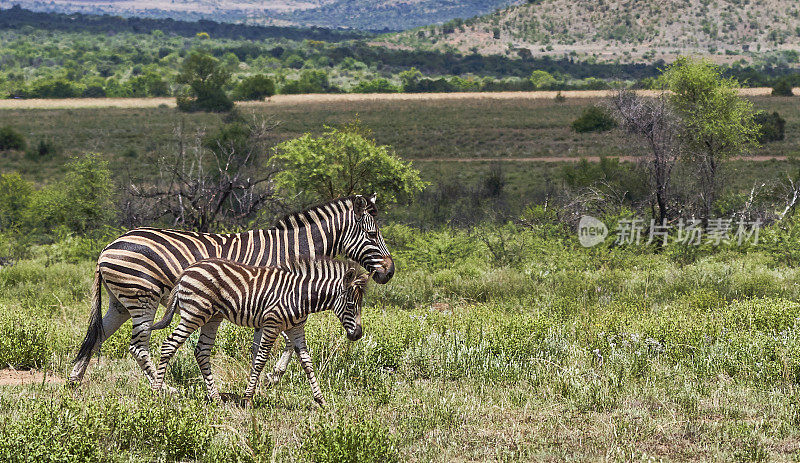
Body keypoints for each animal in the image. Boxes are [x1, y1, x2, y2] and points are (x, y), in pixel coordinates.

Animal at [70, 194, 396, 386]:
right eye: (372, 234)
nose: (389, 271)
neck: (291, 252)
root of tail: (106, 248)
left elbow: (274, 345)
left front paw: (264, 379)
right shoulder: (274, 298)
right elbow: (280, 345)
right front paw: (269, 379)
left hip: (120, 303)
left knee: (96, 336)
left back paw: (74, 383)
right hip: (142, 298)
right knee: (138, 346)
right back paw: (166, 388)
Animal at [148, 258, 368, 406]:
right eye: (351, 305)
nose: (357, 335)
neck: (300, 296)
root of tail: (186, 270)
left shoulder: (296, 328)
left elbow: (307, 362)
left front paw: (320, 400)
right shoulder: (272, 324)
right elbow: (261, 360)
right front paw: (247, 398)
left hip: (212, 317)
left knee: (201, 351)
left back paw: (216, 398)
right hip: (194, 313)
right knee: (169, 345)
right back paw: (157, 393)